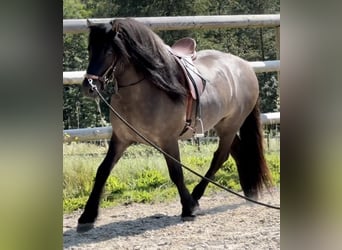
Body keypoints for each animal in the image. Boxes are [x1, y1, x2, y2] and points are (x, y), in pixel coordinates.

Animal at [78, 17, 272, 232]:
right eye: (90, 48)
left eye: (109, 52)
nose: (89, 87)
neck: (145, 90)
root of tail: (245, 66)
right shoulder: (120, 139)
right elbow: (103, 170)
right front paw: (87, 216)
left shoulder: (168, 141)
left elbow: (176, 173)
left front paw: (188, 208)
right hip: (220, 125)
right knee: (237, 152)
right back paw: (248, 192)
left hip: (231, 125)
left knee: (220, 157)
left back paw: (196, 197)